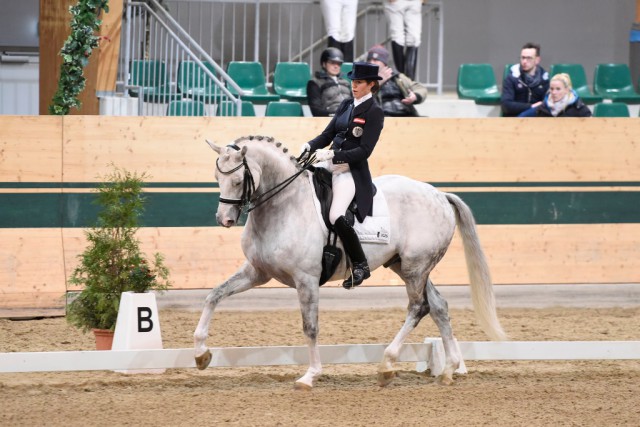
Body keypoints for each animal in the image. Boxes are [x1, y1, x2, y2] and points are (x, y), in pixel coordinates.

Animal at [192, 135, 508, 390]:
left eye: (237, 181)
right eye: (216, 177)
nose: (224, 220)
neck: (284, 204)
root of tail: (440, 195)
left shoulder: (306, 280)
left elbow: (310, 327)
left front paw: (310, 376)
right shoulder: (257, 272)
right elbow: (214, 295)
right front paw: (201, 353)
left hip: (415, 267)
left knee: (419, 307)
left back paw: (387, 365)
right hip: (406, 266)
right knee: (439, 306)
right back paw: (449, 370)